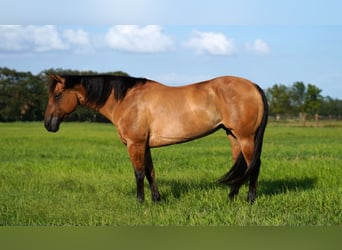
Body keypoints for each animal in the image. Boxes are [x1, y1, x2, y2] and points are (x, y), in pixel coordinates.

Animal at [44, 74, 268, 203]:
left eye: (57, 95)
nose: (48, 124)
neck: (126, 100)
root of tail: (254, 86)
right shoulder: (144, 146)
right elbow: (150, 172)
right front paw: (156, 200)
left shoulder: (134, 144)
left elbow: (138, 173)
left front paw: (140, 202)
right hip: (233, 136)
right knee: (242, 166)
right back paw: (231, 197)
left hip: (246, 137)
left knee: (254, 166)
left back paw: (249, 200)